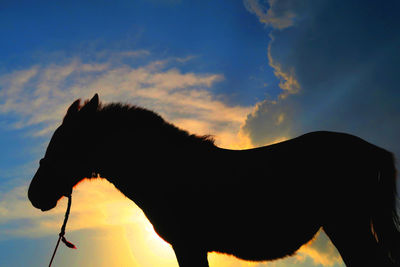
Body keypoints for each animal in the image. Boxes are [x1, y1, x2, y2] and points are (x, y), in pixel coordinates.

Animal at [28, 94, 400, 267]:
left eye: (62, 144)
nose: (35, 195)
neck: (165, 170)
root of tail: (371, 149)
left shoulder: (188, 245)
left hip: (347, 227)